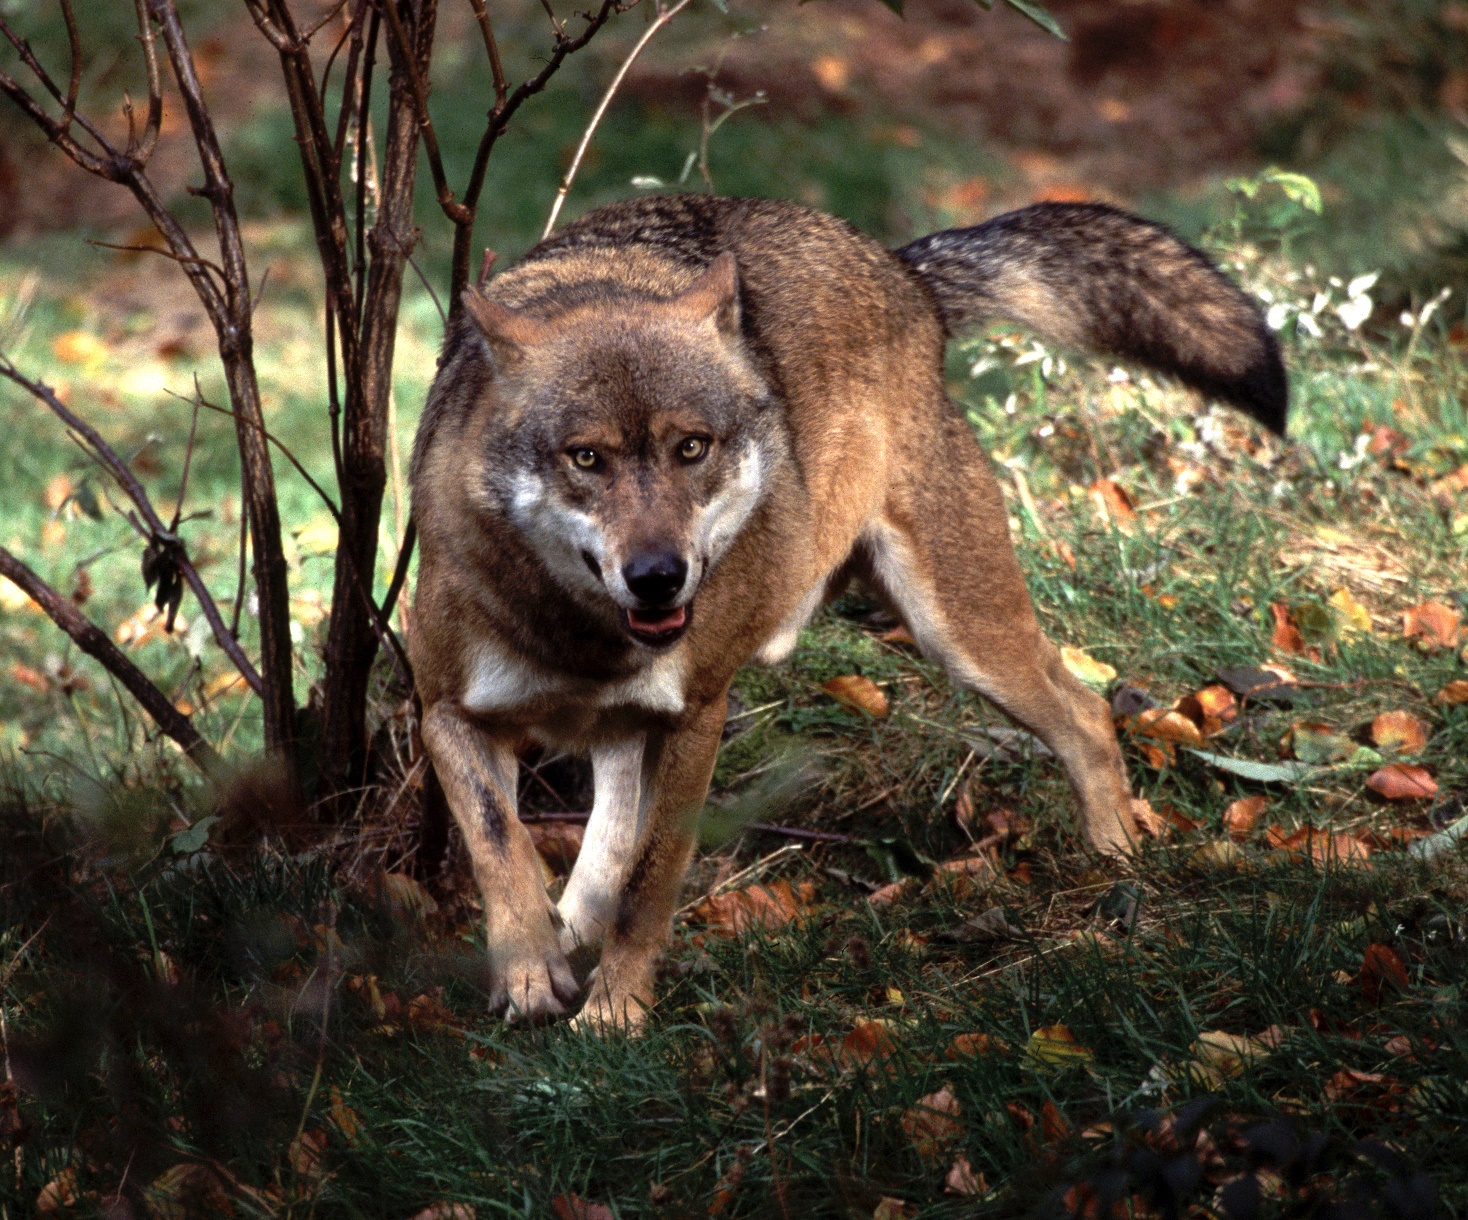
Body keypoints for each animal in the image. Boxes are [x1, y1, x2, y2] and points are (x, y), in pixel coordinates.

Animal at [409, 194, 1285, 1030]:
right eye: (586, 458)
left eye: (691, 448)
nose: (659, 578)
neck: (580, 640)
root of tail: (902, 270)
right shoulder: (444, 712)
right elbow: (501, 845)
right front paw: (531, 973)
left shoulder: (698, 715)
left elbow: (649, 884)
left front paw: (615, 1014)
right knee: (608, 826)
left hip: (960, 636)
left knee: (1089, 714)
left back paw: (1116, 864)